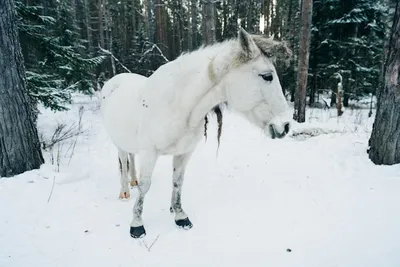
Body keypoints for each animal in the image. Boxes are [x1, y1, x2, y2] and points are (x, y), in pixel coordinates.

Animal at [100, 28, 292, 239]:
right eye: (267, 76)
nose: (285, 126)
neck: (178, 104)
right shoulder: (150, 153)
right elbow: (145, 185)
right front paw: (136, 224)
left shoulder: (185, 152)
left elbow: (178, 182)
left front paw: (179, 215)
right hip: (119, 143)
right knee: (123, 162)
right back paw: (125, 190)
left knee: (131, 159)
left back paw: (132, 181)